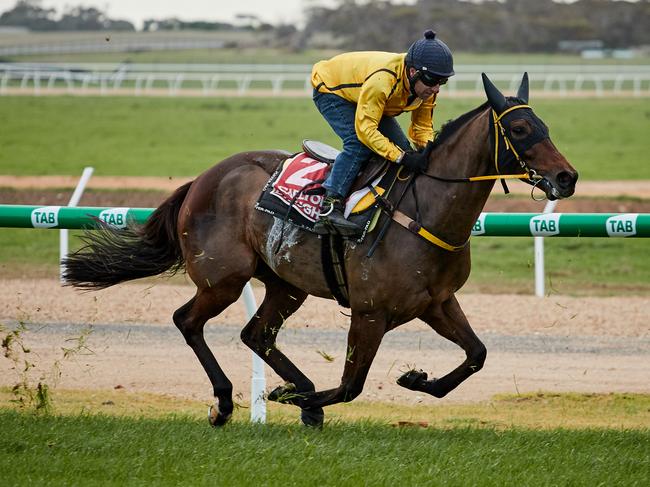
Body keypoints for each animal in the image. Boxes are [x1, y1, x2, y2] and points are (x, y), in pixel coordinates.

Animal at [62, 72, 576, 428]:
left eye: (546, 124)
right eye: (522, 129)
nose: (567, 177)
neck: (425, 210)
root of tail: (203, 179)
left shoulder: (436, 302)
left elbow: (476, 354)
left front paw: (416, 380)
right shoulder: (370, 312)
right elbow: (351, 385)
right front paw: (291, 399)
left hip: (286, 284)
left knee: (256, 334)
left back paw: (295, 390)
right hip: (223, 278)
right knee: (188, 321)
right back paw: (227, 402)